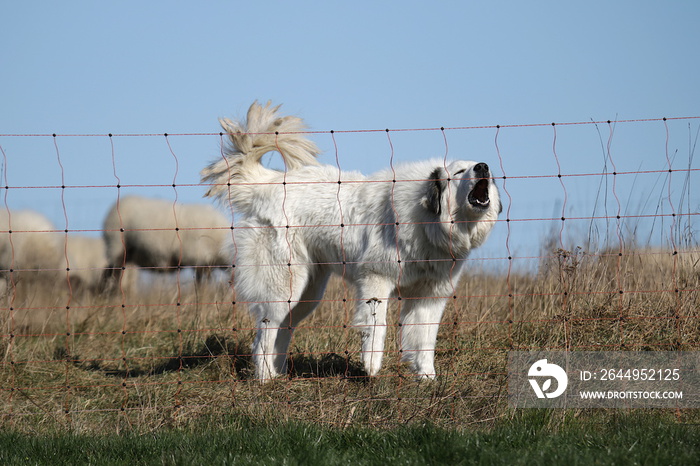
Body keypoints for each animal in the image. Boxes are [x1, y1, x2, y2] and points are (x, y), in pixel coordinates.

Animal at [102, 195, 232, 286]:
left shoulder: (206, 262)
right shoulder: (199, 258)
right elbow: (201, 284)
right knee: (111, 275)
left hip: (126, 253)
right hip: (116, 246)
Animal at [200, 100, 500, 380]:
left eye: (484, 171)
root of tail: (271, 183)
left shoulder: (429, 296)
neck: (428, 220)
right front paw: (372, 368)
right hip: (284, 286)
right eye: (459, 172)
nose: (483, 166)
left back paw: (278, 375)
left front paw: (427, 378)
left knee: (283, 330)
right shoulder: (376, 279)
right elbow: (377, 328)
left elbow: (424, 341)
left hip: (308, 292)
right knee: (265, 332)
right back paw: (264, 379)